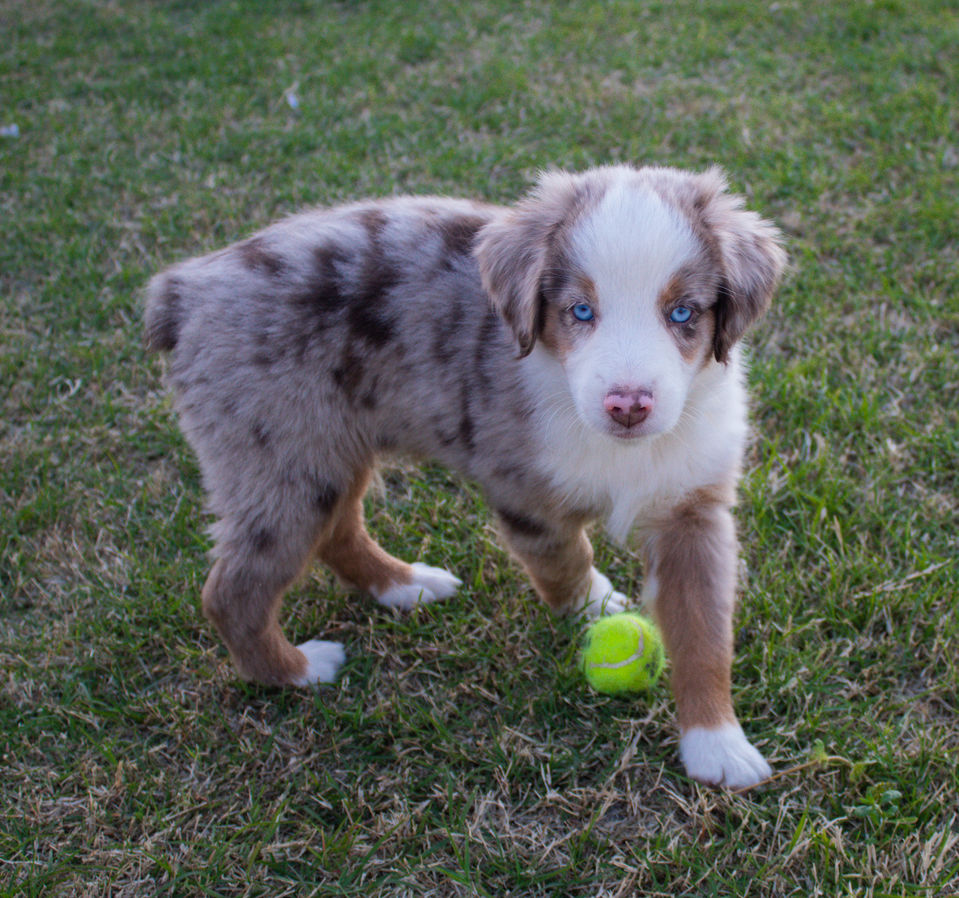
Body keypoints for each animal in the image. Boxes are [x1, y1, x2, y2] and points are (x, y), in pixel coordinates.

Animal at [144, 164, 786, 788]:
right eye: (580, 311)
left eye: (682, 313)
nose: (628, 406)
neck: (622, 448)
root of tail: (186, 290)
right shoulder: (521, 489)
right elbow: (564, 559)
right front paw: (596, 607)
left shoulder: (694, 507)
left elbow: (704, 630)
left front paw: (717, 745)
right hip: (279, 456)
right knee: (233, 589)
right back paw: (299, 670)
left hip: (326, 450)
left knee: (338, 531)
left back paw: (404, 585)